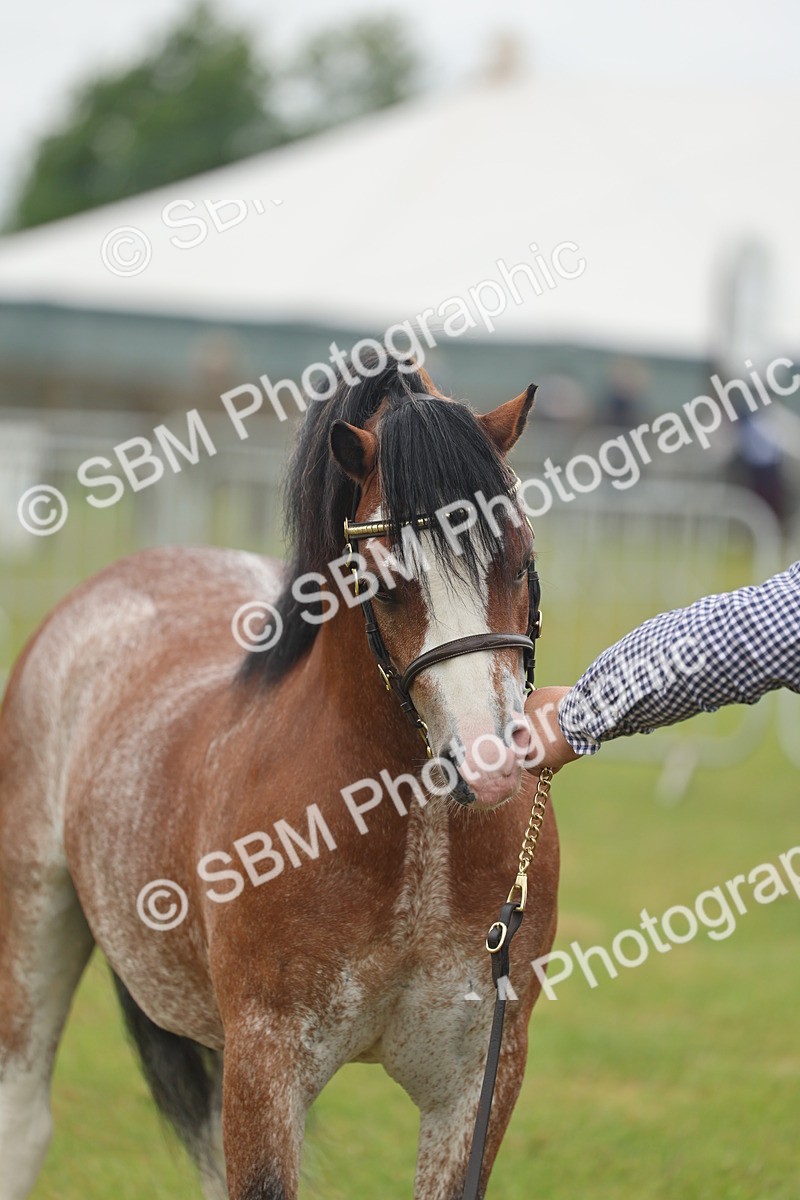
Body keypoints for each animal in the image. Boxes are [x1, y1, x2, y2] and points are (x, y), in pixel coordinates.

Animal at [0, 353, 559, 1200]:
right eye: (385, 583)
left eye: (520, 562)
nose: (487, 764)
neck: (410, 849)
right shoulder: (266, 1063)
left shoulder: (477, 1079)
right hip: (33, 920)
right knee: (24, 1123)